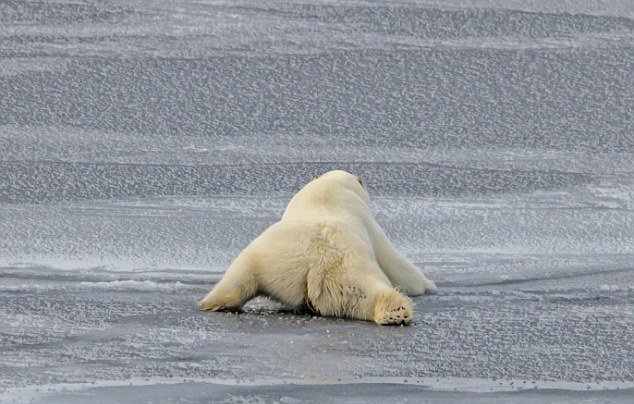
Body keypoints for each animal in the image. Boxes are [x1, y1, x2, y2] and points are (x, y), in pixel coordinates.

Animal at [198, 170, 434, 326]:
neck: (327, 190)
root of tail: (314, 261)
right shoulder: (370, 225)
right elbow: (398, 266)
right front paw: (428, 284)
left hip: (265, 257)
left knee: (237, 279)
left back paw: (216, 302)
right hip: (347, 268)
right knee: (368, 289)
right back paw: (396, 311)